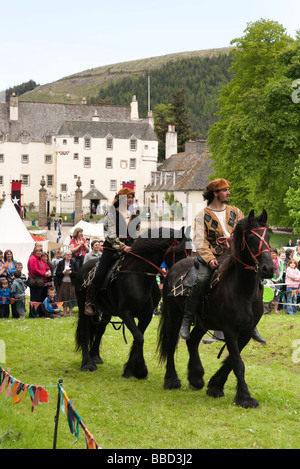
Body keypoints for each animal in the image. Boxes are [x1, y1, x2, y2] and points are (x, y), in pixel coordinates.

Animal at [76, 226, 191, 376]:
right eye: (181, 251)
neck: (138, 276)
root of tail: (83, 267)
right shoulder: (125, 313)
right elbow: (139, 337)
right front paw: (140, 369)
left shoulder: (146, 315)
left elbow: (139, 337)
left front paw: (131, 369)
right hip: (83, 307)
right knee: (85, 332)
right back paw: (87, 363)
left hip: (107, 311)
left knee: (100, 329)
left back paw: (95, 356)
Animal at [158, 210, 276, 408]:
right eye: (251, 237)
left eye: (267, 236)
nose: (269, 268)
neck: (242, 290)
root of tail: (173, 269)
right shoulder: (230, 330)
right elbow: (237, 362)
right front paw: (245, 397)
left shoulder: (246, 332)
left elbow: (231, 361)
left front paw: (215, 386)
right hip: (173, 315)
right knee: (171, 343)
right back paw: (171, 380)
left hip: (203, 322)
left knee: (192, 341)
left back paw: (196, 377)